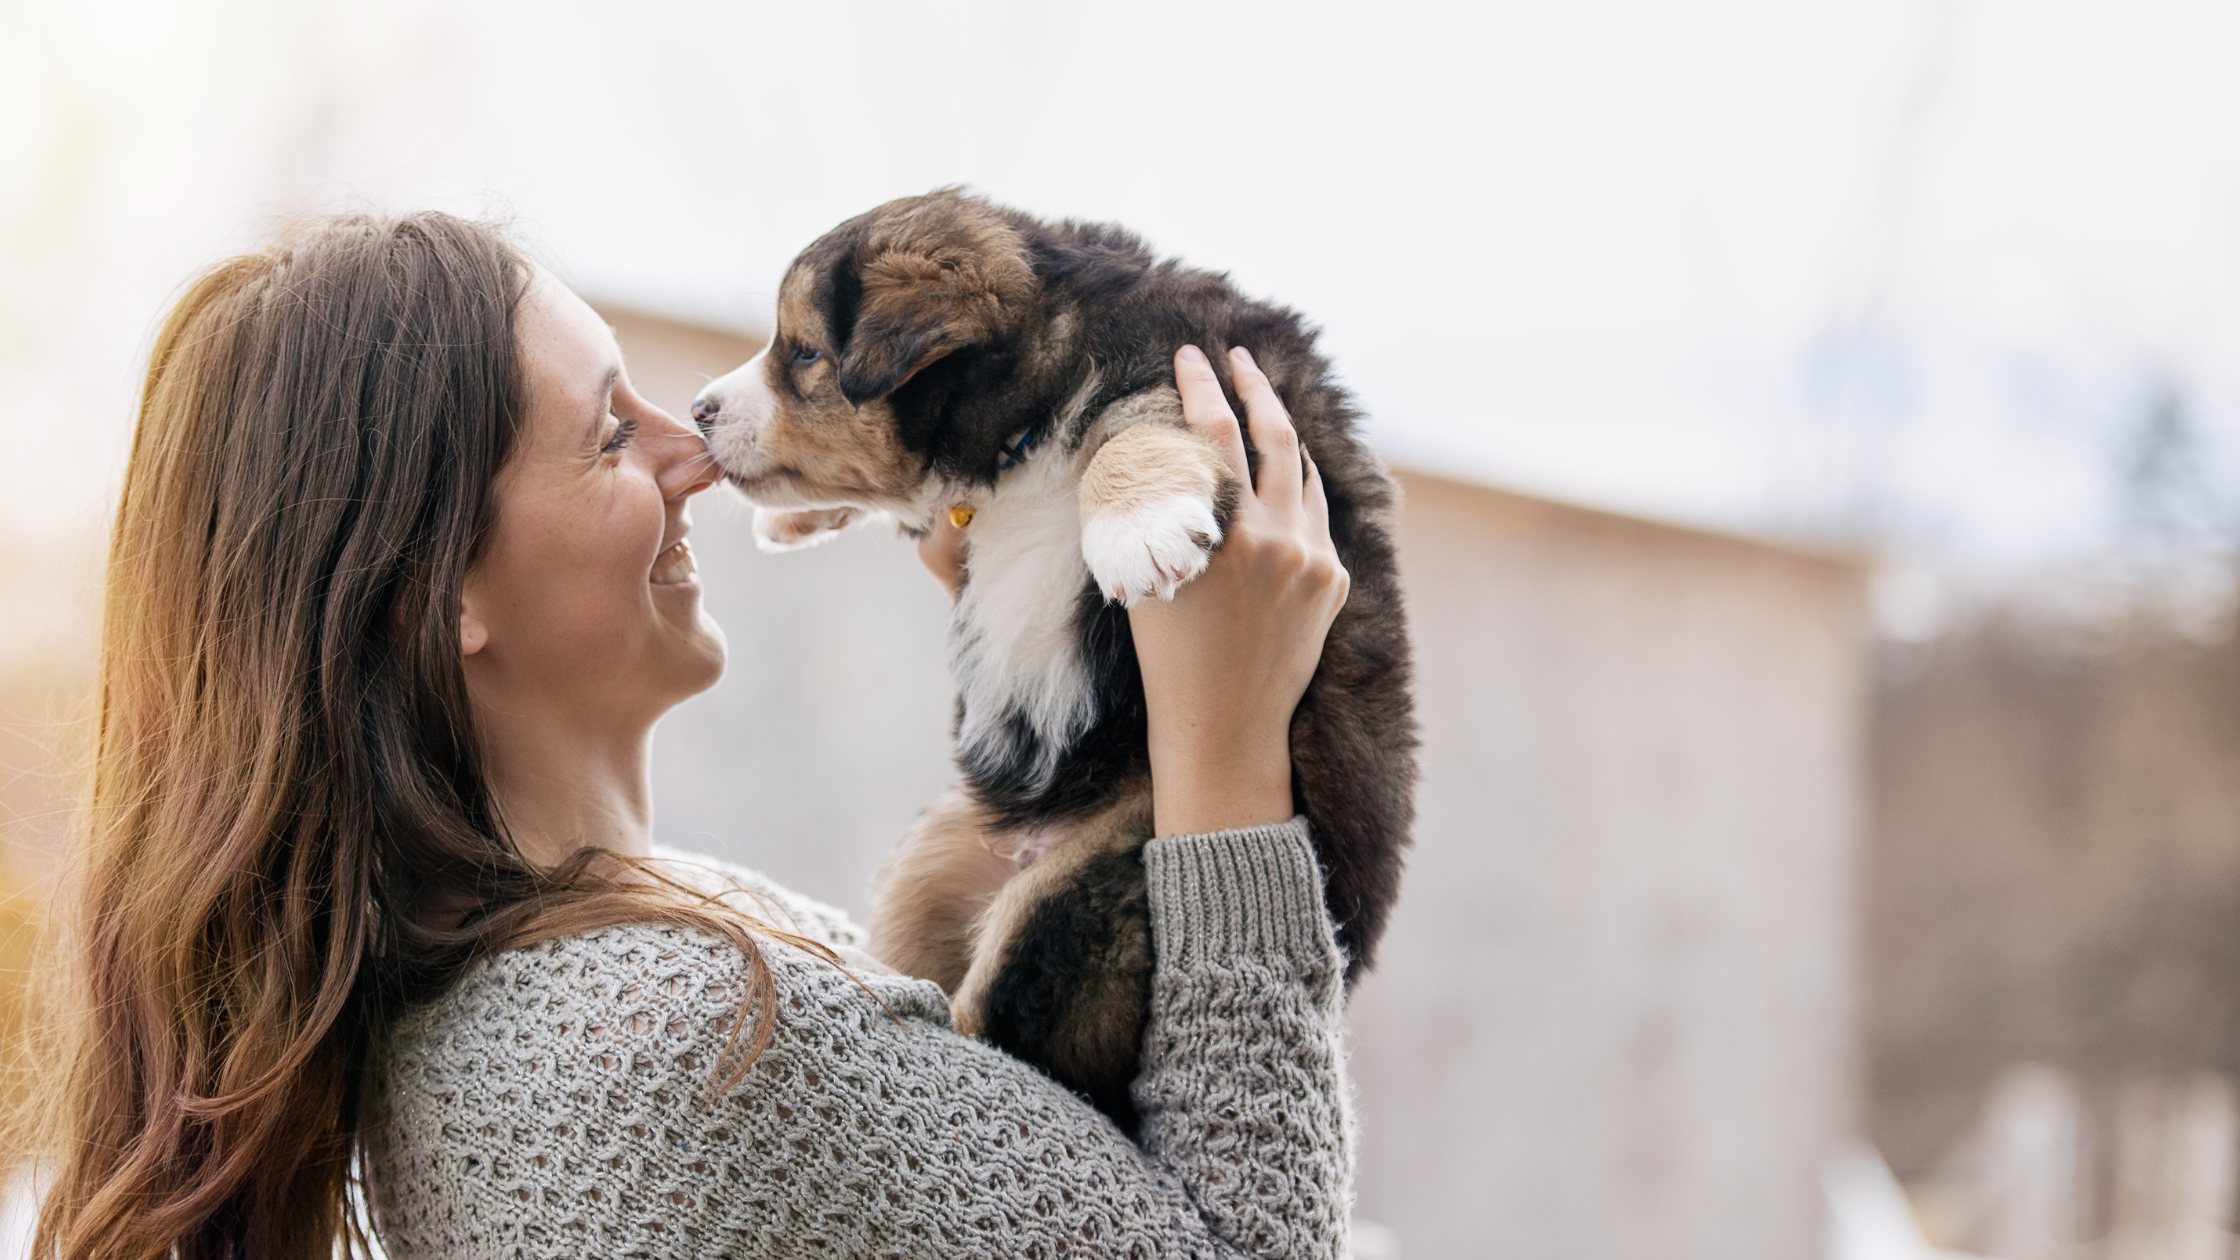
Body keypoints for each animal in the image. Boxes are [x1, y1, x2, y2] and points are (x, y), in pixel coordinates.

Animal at [689, 191, 1406, 1120]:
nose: (698, 409)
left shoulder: (1214, 384)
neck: (1029, 415)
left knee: (1013, 1037)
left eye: (805, 352)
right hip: (934, 855)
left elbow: (1136, 422)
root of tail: (1023, 849)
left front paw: (1139, 530)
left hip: (1092, 885)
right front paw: (792, 519)